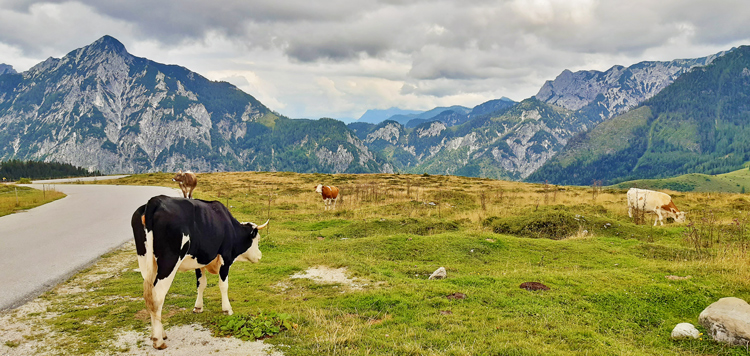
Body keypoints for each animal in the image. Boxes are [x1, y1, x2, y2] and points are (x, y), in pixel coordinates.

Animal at [131, 193, 268, 350]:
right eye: (257, 238)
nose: (260, 255)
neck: (229, 226)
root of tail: (155, 201)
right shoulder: (225, 258)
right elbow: (223, 285)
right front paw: (227, 309)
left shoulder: (199, 261)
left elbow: (201, 284)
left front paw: (198, 307)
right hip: (169, 262)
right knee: (157, 295)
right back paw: (158, 340)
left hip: (146, 262)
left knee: (150, 296)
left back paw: (160, 333)